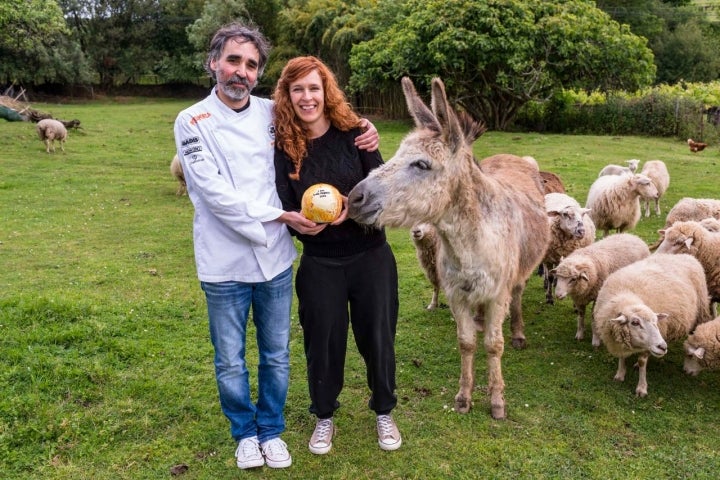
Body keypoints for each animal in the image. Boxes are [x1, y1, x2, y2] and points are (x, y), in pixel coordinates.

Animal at [592, 253, 716, 396]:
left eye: (656, 321)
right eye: (635, 322)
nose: (663, 347)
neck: (626, 296)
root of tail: (686, 255)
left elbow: (642, 362)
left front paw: (641, 388)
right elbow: (622, 356)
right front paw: (620, 374)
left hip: (701, 310)